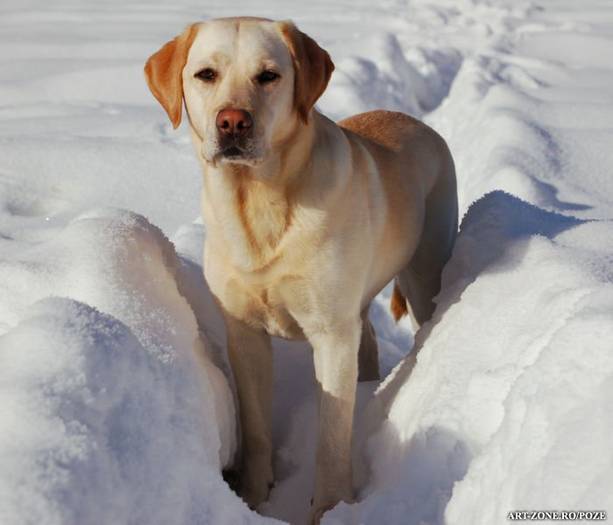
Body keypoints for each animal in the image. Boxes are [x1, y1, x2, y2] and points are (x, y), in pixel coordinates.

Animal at [146, 16, 456, 524]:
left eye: (268, 76)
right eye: (206, 74)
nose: (233, 122)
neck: (258, 202)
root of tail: (417, 122)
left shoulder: (330, 334)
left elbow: (331, 439)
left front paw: (330, 510)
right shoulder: (245, 333)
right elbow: (256, 427)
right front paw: (254, 498)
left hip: (424, 271)